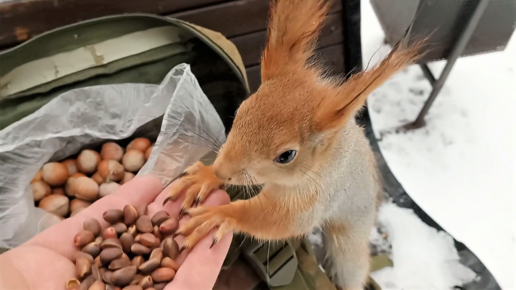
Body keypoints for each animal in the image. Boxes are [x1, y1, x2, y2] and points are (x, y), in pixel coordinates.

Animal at [163, 1, 422, 288]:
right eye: (240, 110)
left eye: (286, 155)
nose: (221, 171)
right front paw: (205, 177)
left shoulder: (316, 195)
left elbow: (279, 220)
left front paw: (219, 215)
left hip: (348, 241)